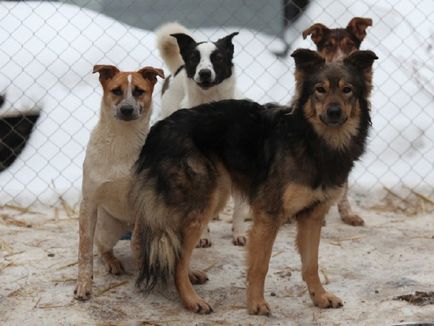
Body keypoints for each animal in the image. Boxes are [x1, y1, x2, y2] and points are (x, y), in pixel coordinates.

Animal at [73, 65, 164, 302]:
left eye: (139, 91)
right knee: (102, 248)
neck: (123, 139)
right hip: (108, 227)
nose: (126, 109)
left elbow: (138, 243)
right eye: (116, 91)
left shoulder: (143, 203)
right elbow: (85, 249)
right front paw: (83, 285)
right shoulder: (89, 203)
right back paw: (113, 263)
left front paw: (145, 271)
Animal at [155, 22, 248, 247]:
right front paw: (203, 236)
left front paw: (239, 233)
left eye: (218, 58)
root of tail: (177, 70)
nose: (204, 73)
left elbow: (239, 209)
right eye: (194, 58)